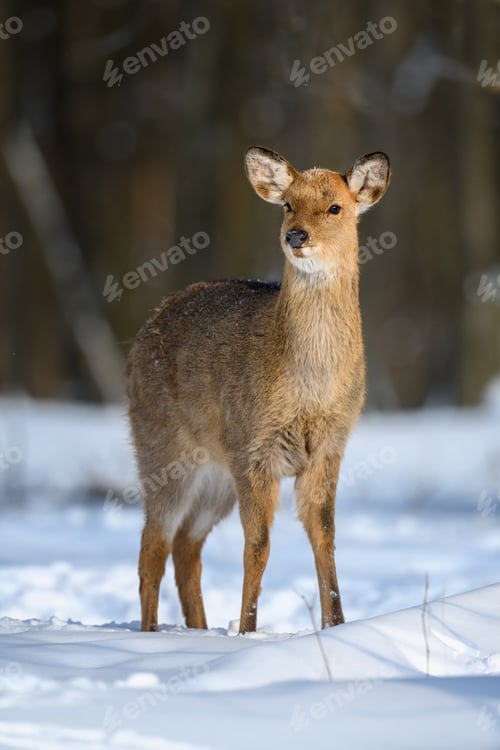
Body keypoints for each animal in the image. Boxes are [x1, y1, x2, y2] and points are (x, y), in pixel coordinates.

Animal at [127, 146, 390, 633]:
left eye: (335, 207)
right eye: (287, 204)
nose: (296, 236)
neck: (308, 389)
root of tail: (146, 327)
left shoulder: (329, 447)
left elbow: (324, 535)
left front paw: (337, 624)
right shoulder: (254, 449)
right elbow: (259, 545)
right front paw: (247, 630)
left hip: (216, 474)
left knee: (185, 546)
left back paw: (198, 629)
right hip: (161, 446)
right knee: (153, 543)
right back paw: (151, 632)